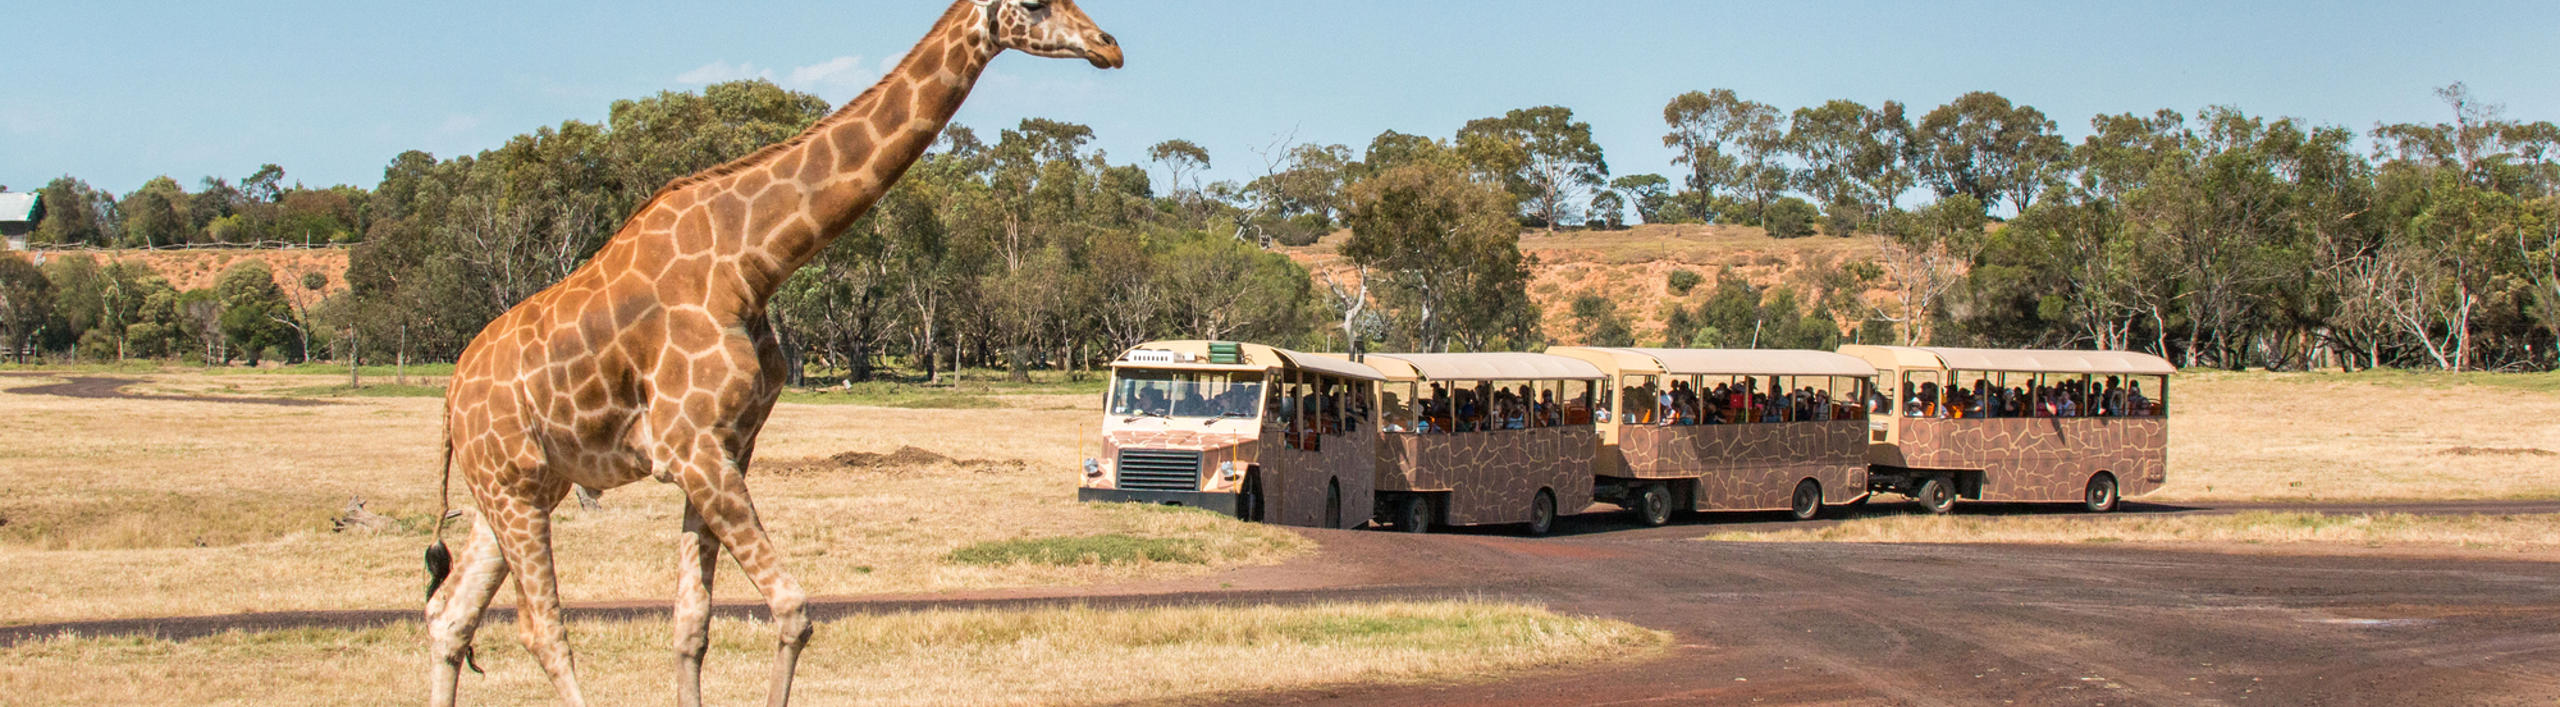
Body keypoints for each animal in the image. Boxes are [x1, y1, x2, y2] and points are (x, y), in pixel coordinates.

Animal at [419, 2, 1121, 701]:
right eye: (1032, 5)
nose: (1108, 47)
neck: (750, 263)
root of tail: (450, 398)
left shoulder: (730, 446)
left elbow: (691, 624)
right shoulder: (691, 448)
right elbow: (792, 609)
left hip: (524, 488)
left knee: (449, 616)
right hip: (512, 487)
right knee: (541, 630)